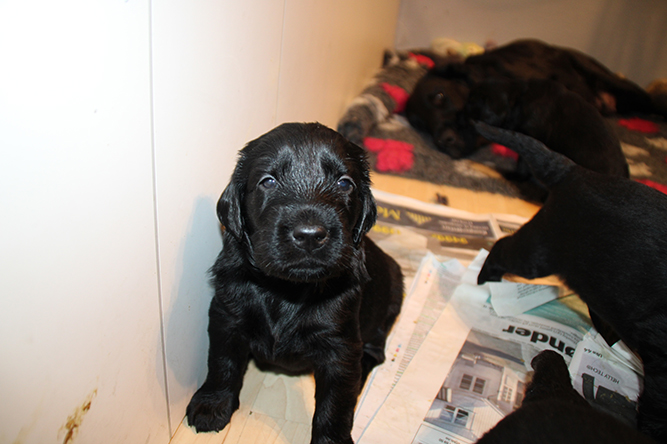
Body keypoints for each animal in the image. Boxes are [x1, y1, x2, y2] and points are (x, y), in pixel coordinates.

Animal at [185, 122, 404, 444]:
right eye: (268, 181)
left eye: (344, 184)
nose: (310, 235)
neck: (286, 289)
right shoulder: (227, 315)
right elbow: (222, 361)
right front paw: (212, 404)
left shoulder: (341, 346)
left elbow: (335, 401)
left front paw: (332, 440)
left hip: (390, 301)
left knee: (373, 353)